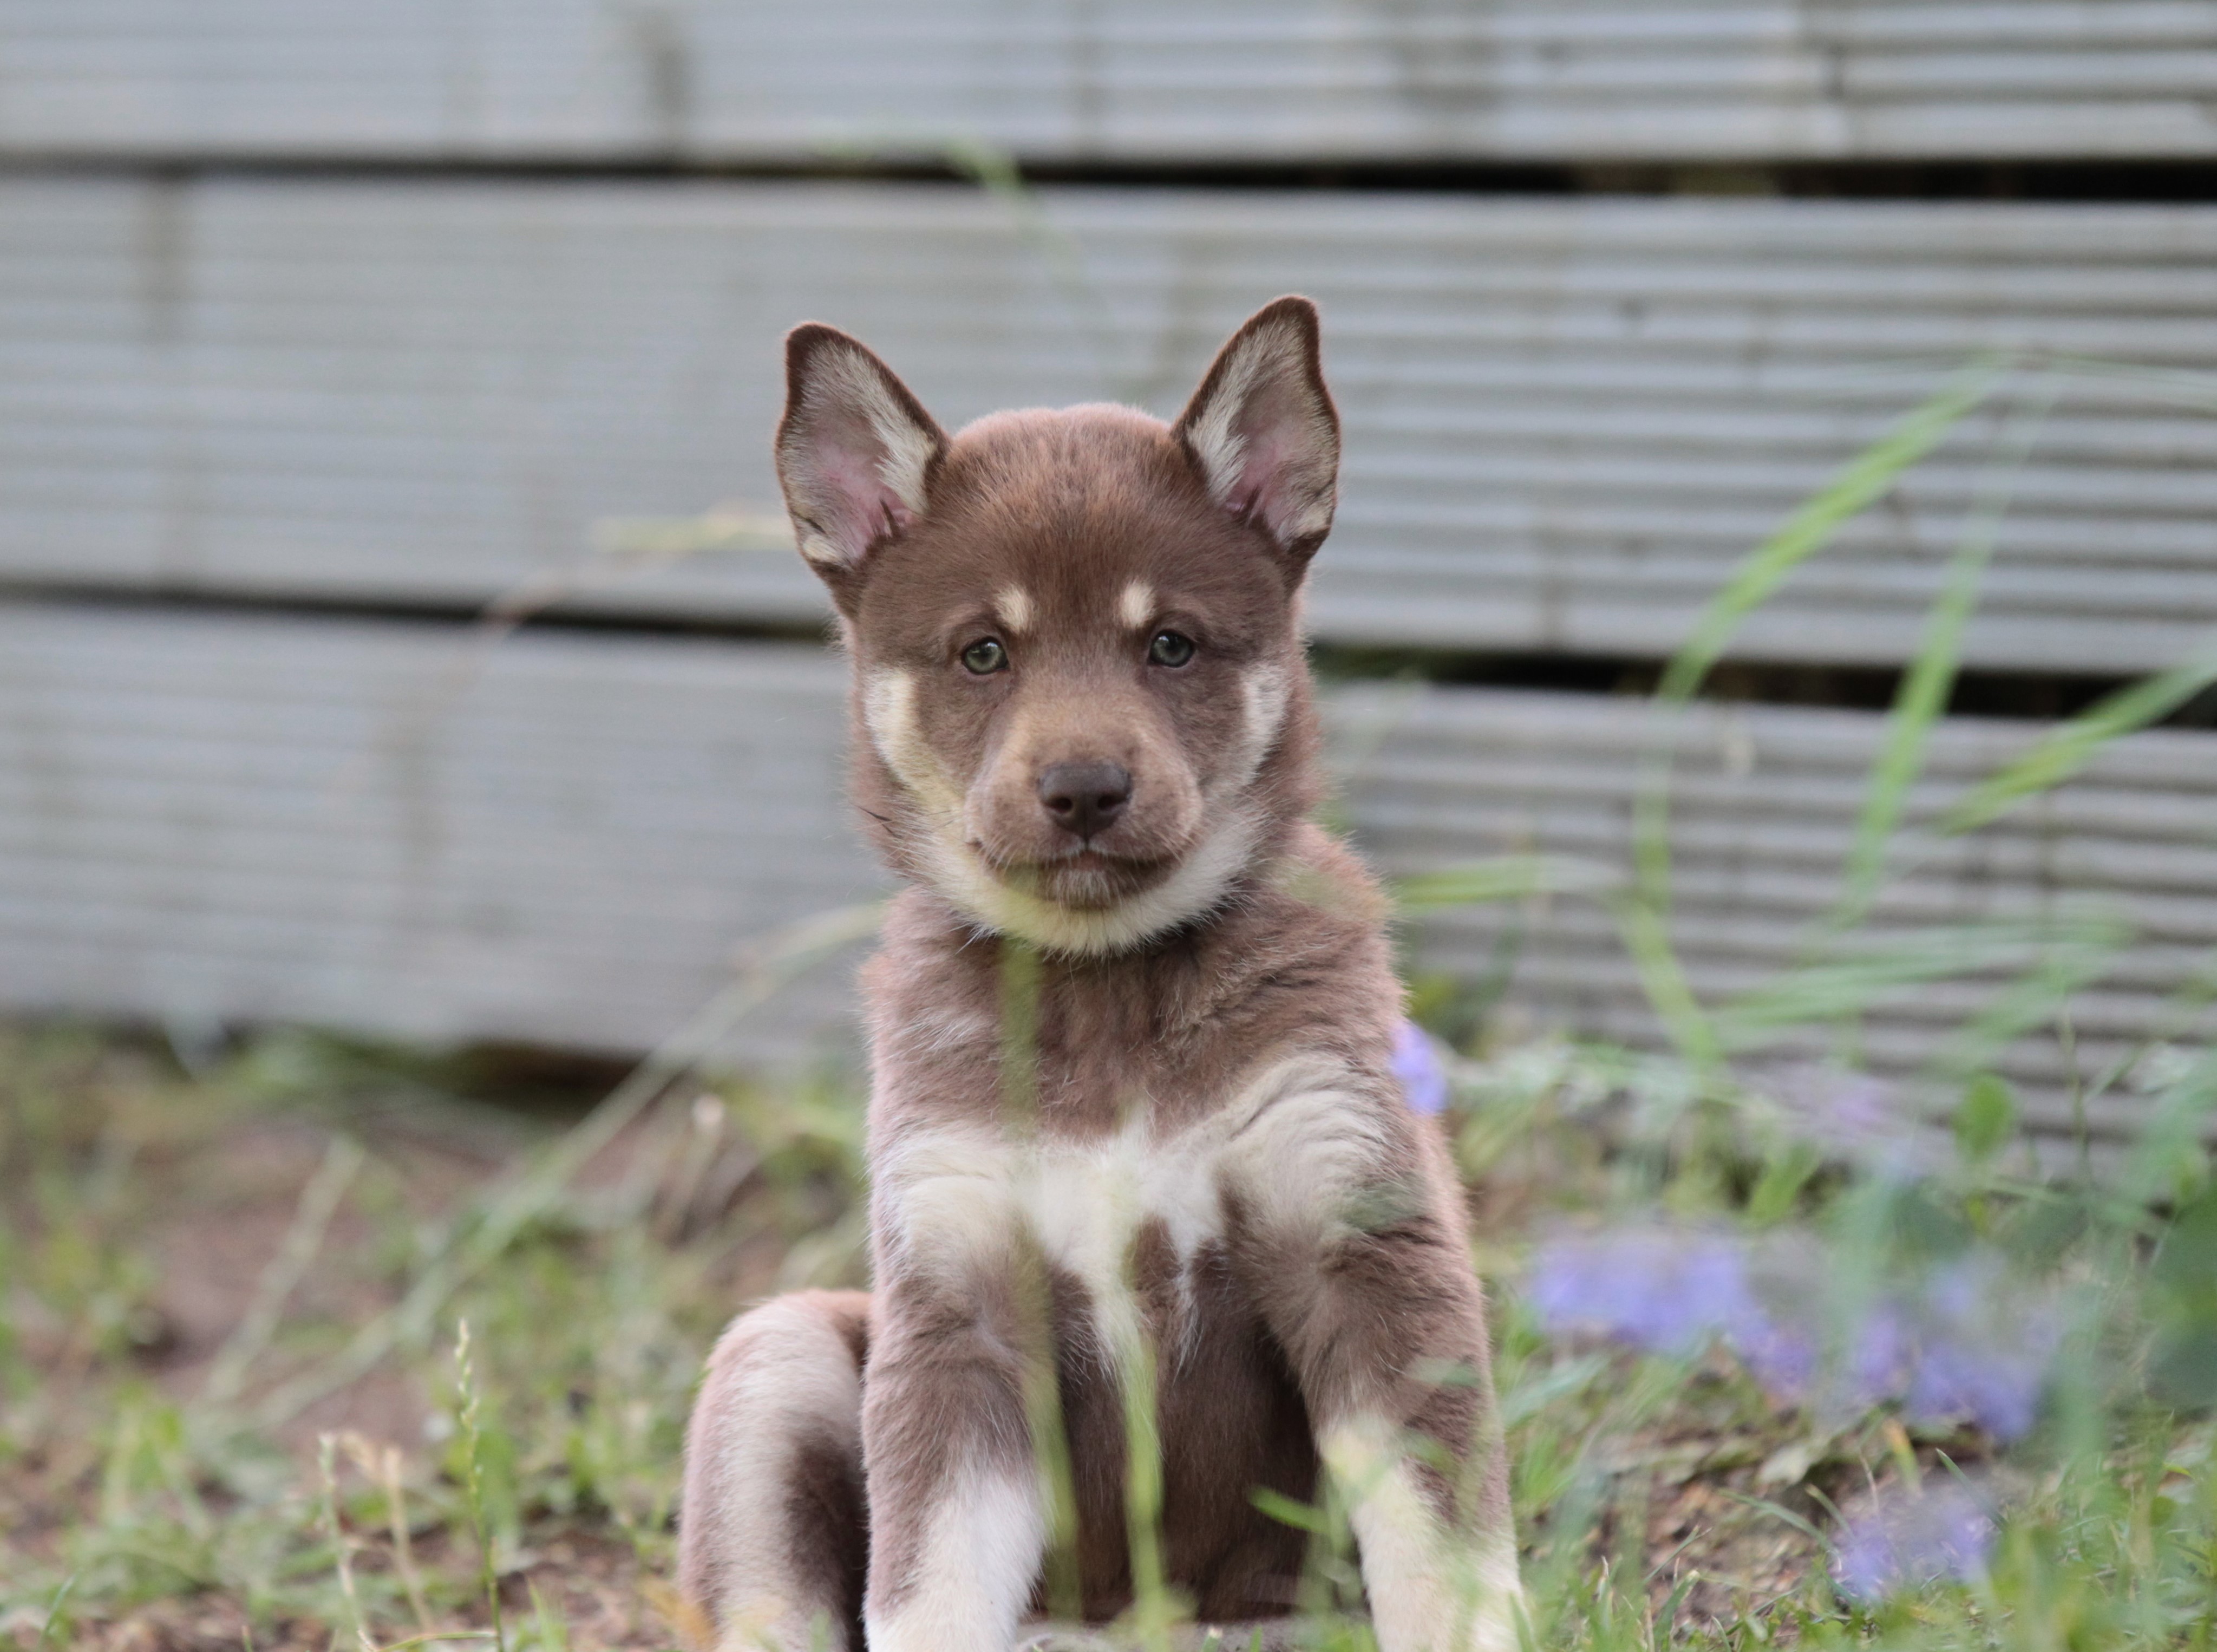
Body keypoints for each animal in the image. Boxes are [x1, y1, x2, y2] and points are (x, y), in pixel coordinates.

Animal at [669, 299, 1525, 1649]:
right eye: (983, 654)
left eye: (1168, 644)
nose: (1082, 790)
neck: (1106, 985)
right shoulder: (957, 1309)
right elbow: (926, 1590)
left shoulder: (1364, 1246)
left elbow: (1442, 1562)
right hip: (781, 1344)